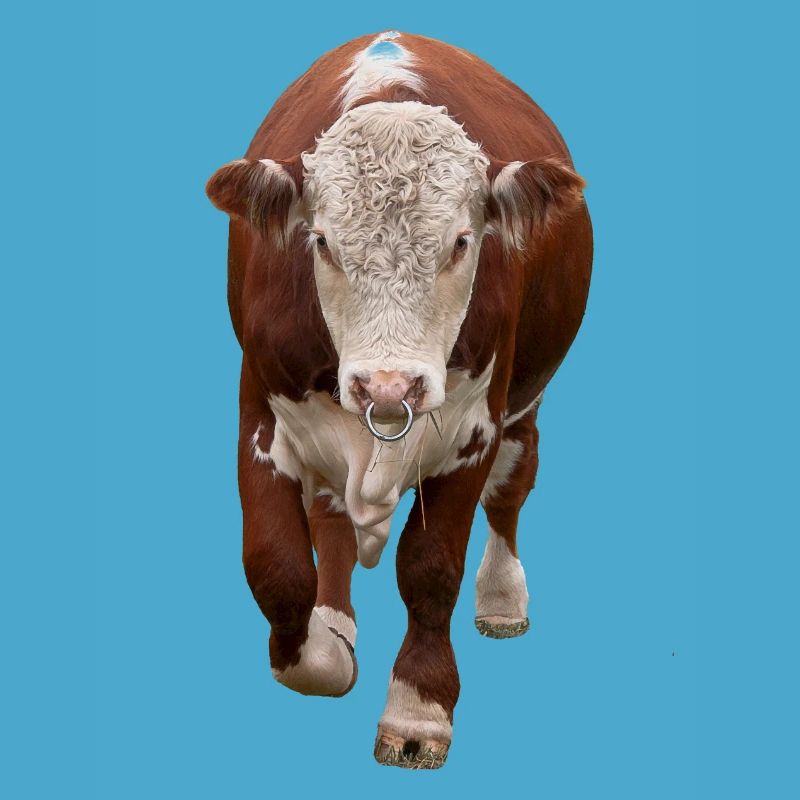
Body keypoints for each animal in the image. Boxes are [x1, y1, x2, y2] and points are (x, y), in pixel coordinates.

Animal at [206, 30, 592, 769]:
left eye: (462, 243)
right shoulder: (260, 408)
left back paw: (503, 598)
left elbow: (431, 566)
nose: (389, 385)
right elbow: (277, 565)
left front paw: (418, 711)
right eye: (321, 241)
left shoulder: (475, 425)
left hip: (527, 400)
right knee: (329, 517)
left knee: (513, 487)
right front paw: (324, 650)